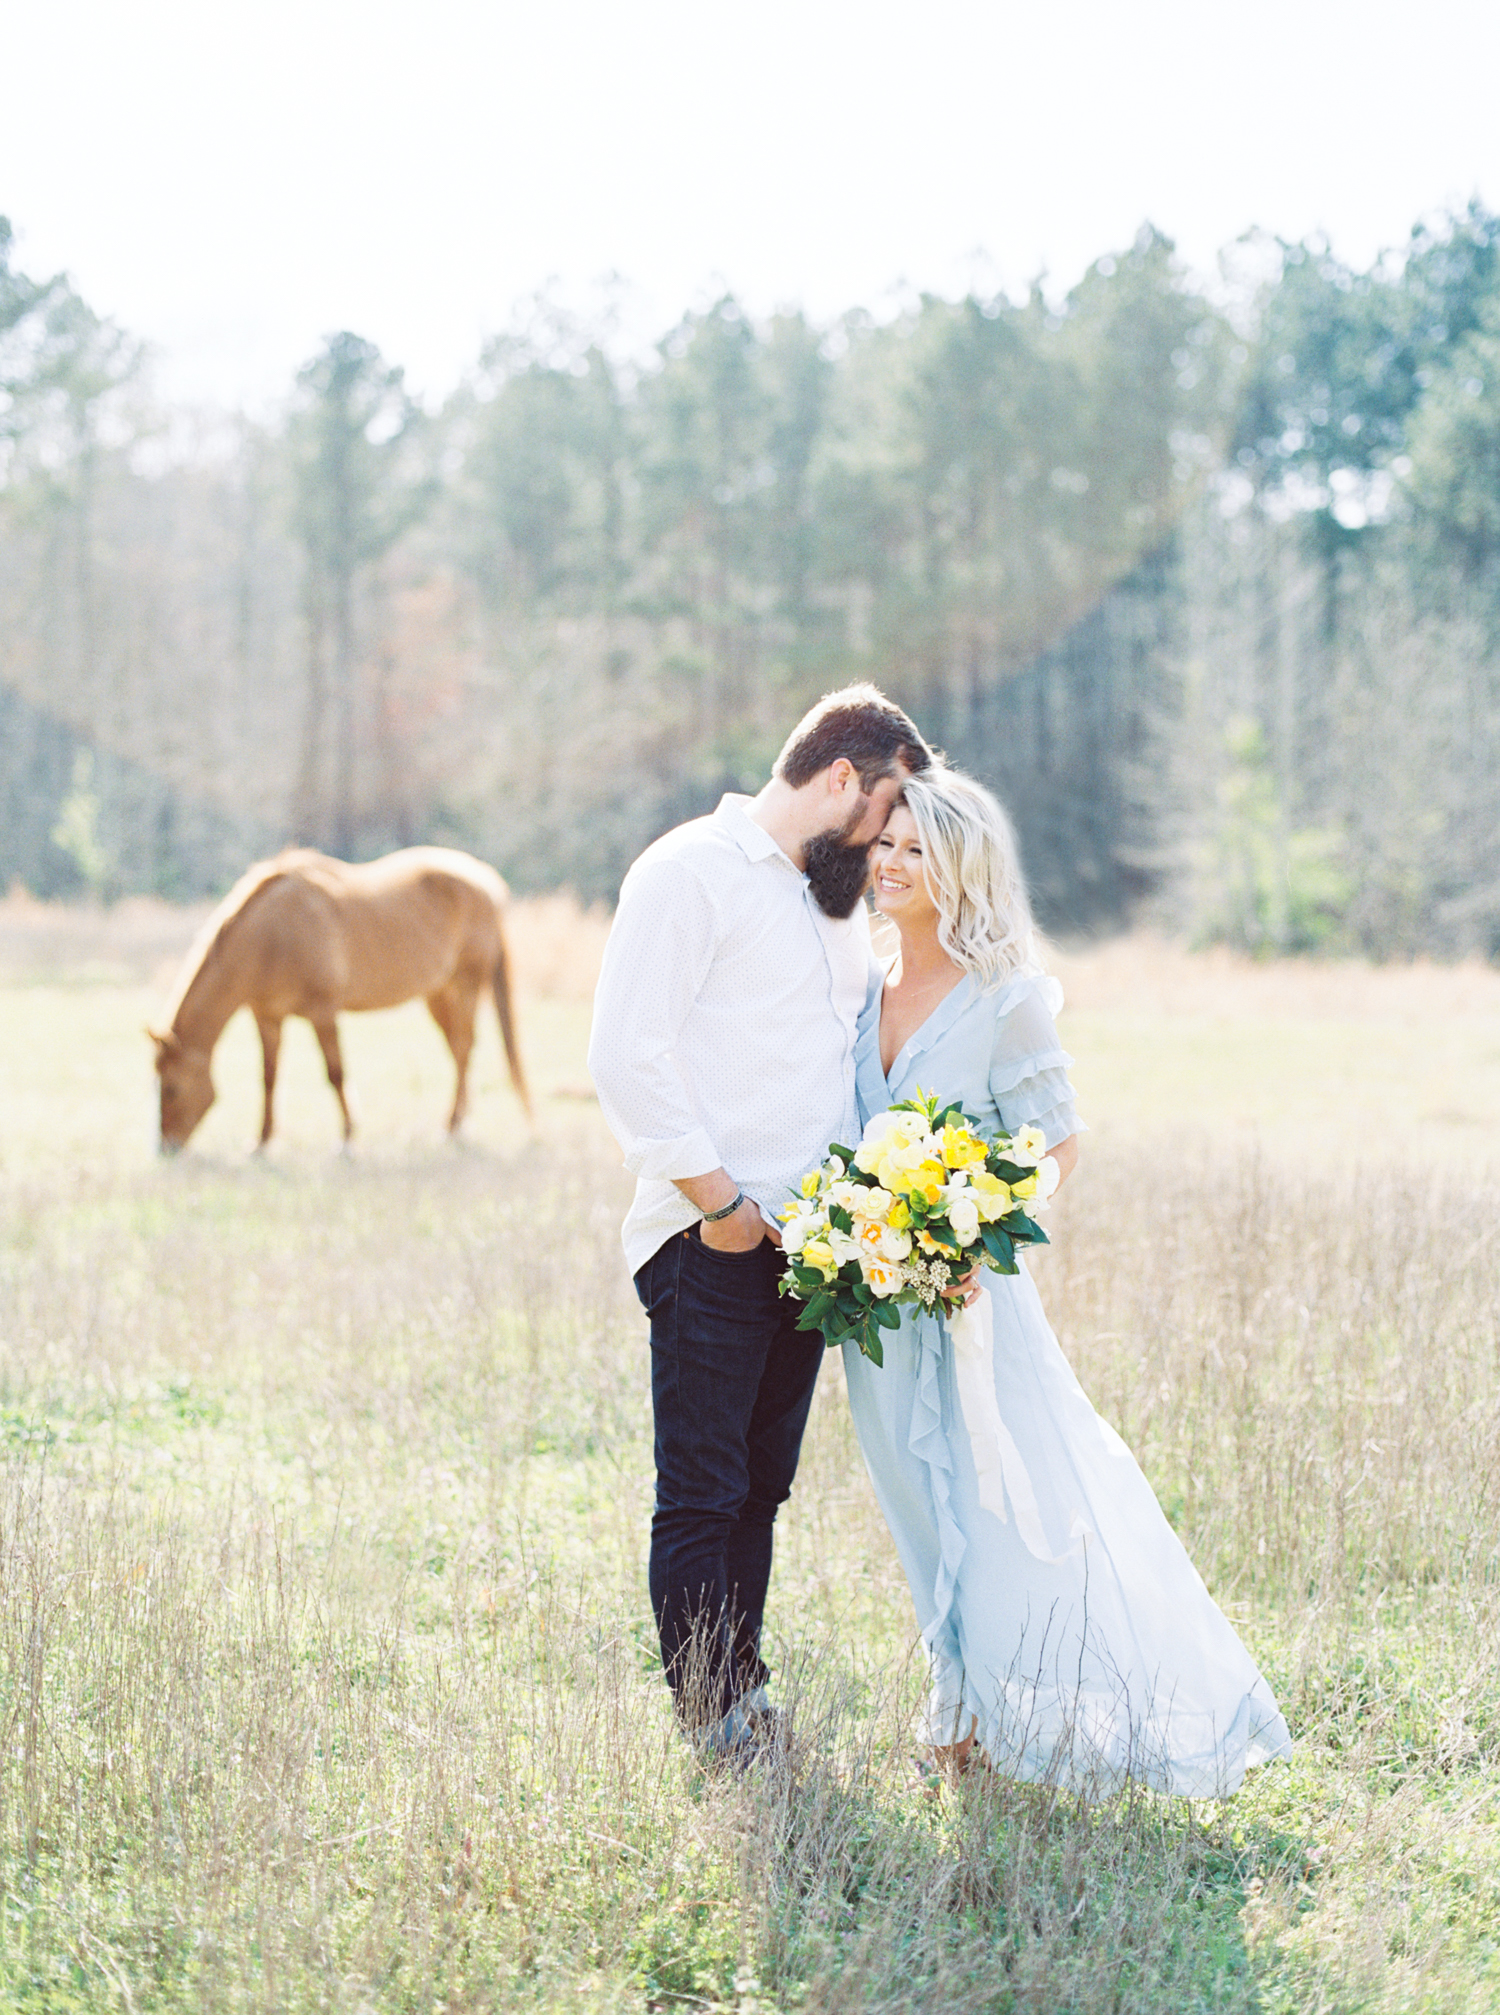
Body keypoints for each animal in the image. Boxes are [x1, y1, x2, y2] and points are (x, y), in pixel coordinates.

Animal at [149, 846, 532, 1152]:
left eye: (171, 1089)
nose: (166, 1148)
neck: (270, 938)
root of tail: (486, 881)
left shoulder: (323, 1012)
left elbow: (335, 1073)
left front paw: (347, 1139)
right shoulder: (268, 1017)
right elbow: (269, 1078)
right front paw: (262, 1142)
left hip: (465, 985)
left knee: (464, 1048)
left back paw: (451, 1127)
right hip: (438, 994)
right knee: (457, 1049)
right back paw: (461, 1123)